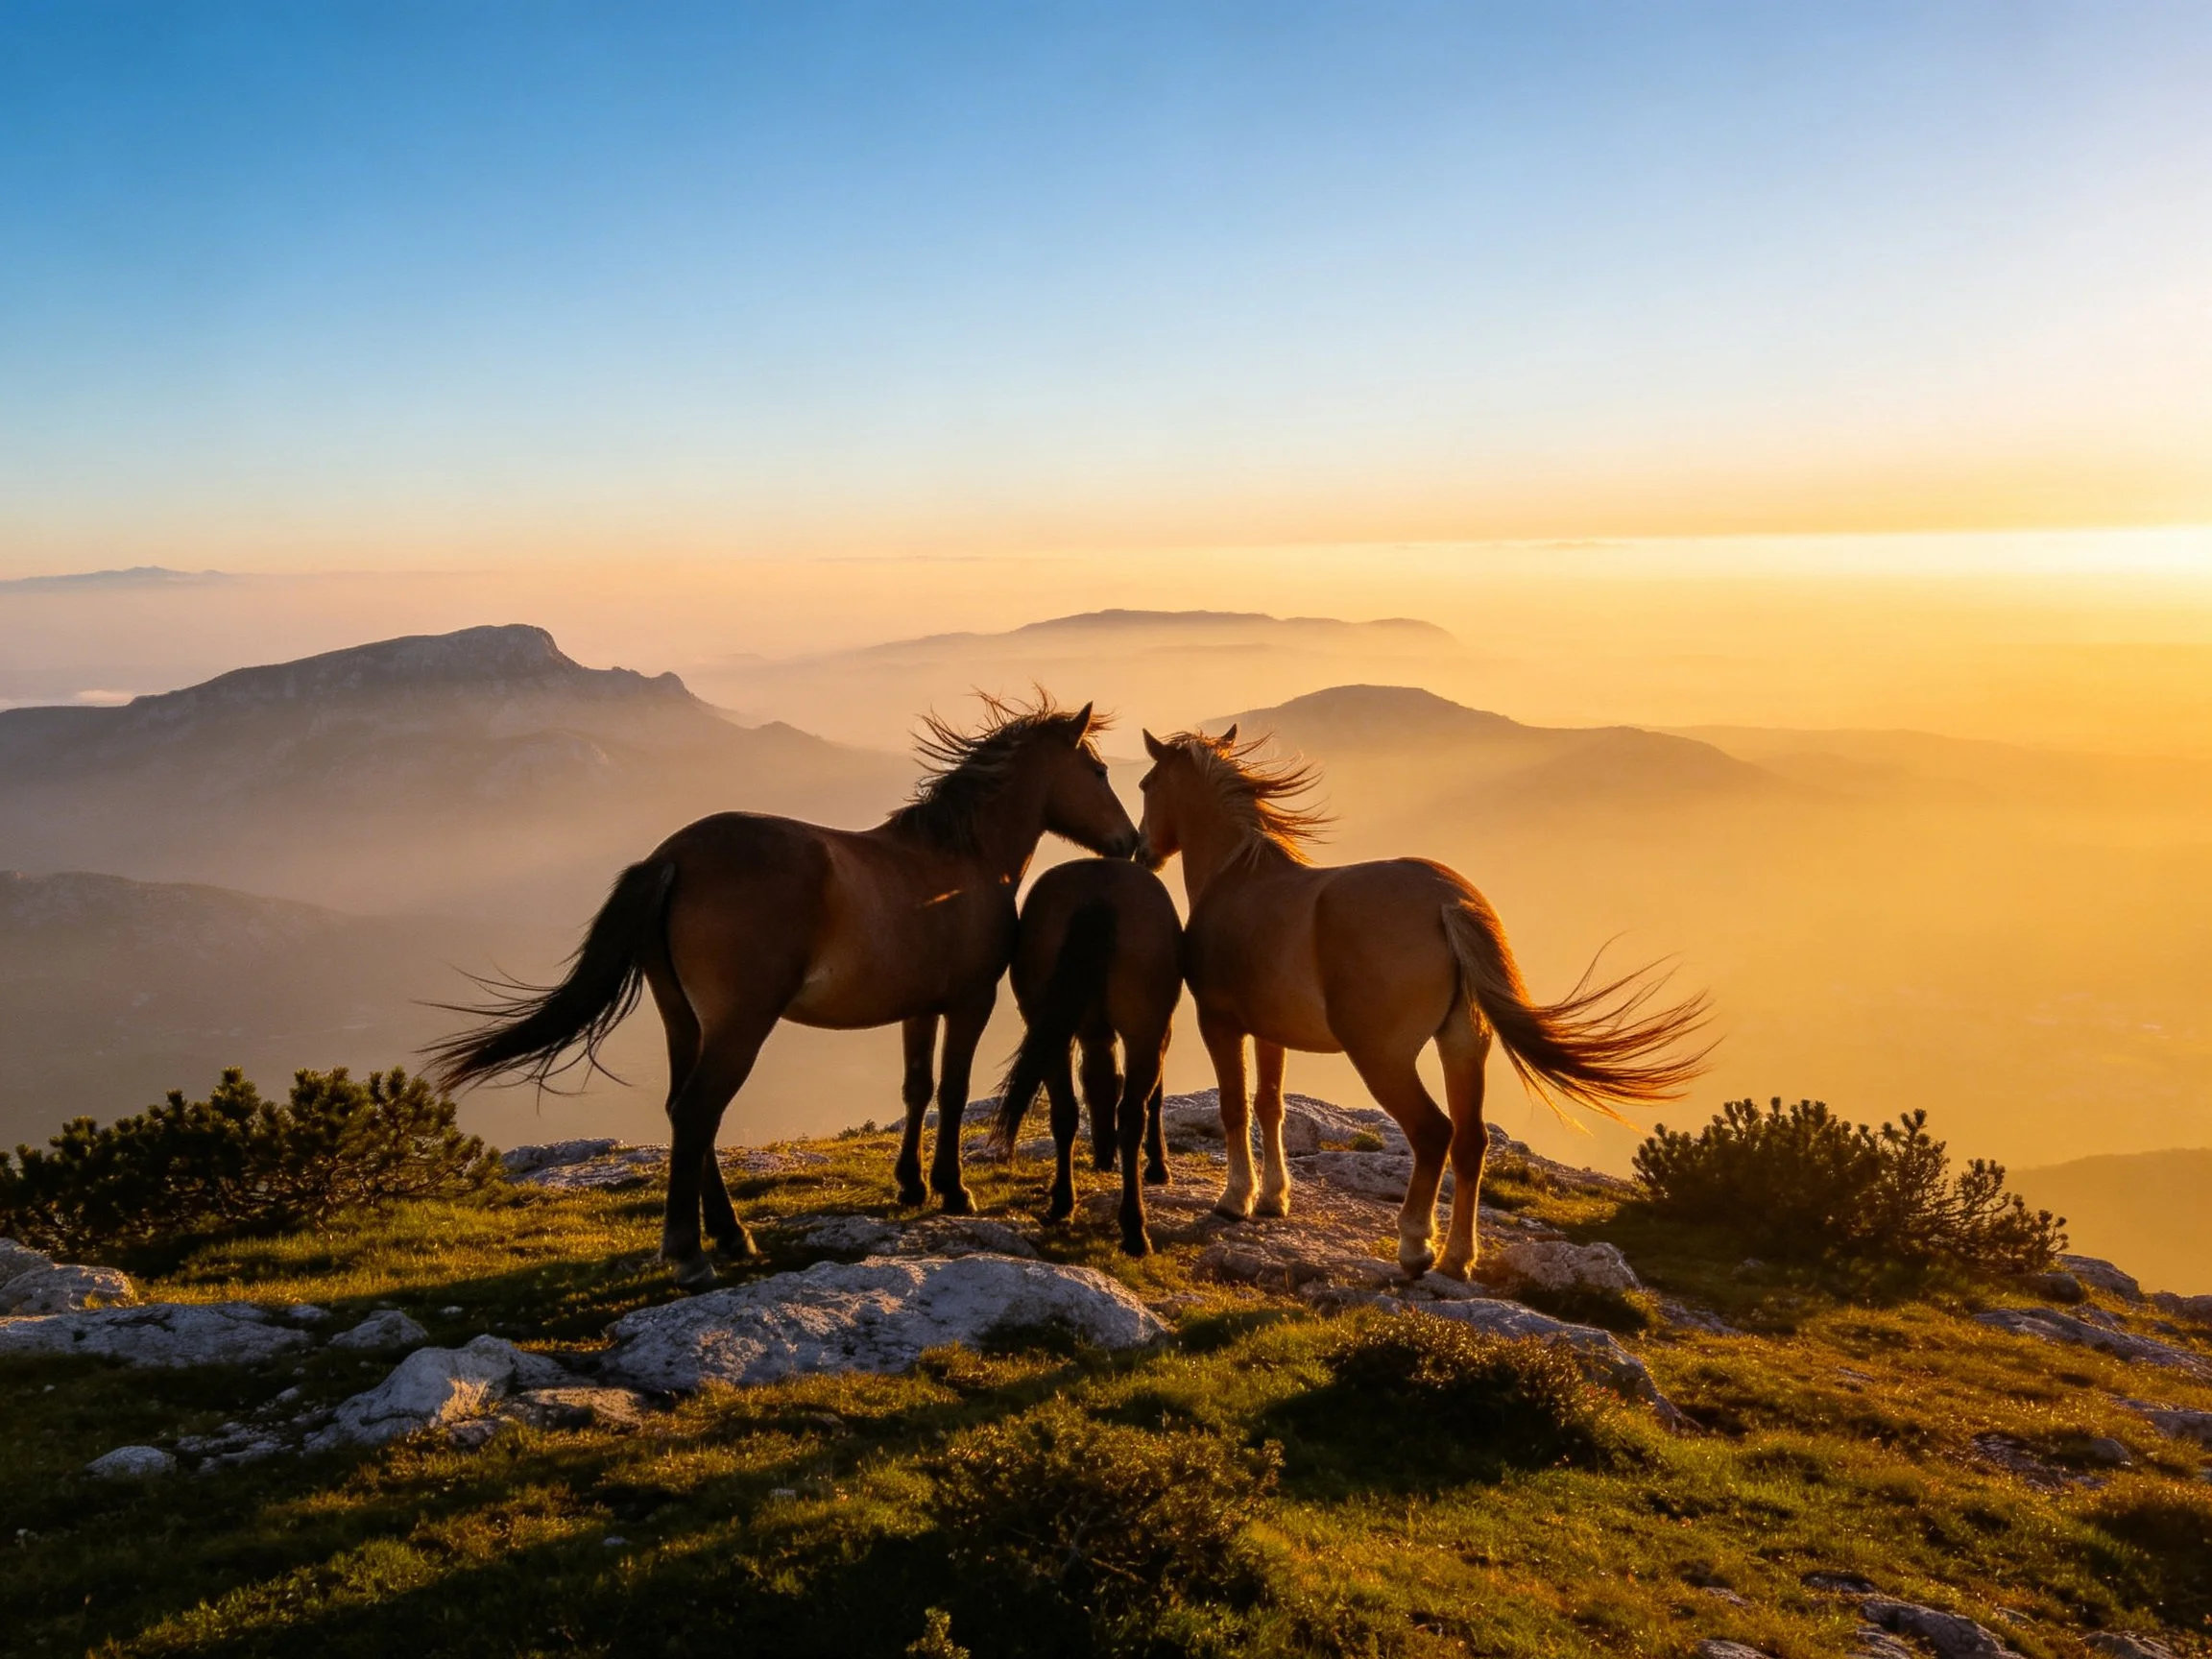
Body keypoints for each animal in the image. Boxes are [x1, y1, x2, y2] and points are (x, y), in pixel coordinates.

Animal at [428, 695, 1139, 1289]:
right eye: (1099, 771)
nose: (1130, 843)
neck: (961, 859)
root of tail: (671, 858)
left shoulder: (918, 1010)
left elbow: (917, 1089)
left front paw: (910, 1184)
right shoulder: (970, 1003)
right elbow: (955, 1091)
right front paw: (952, 1189)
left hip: (685, 1021)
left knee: (686, 1112)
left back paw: (730, 1235)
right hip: (739, 1025)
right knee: (697, 1112)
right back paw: (690, 1253)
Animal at [992, 857, 1181, 1256]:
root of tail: (1096, 894)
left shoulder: (1094, 1033)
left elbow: (1098, 1084)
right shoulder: (1160, 1031)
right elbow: (1154, 1097)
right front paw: (1157, 1165)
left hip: (1050, 1029)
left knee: (1064, 1111)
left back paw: (1063, 1202)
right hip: (1144, 1029)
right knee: (1132, 1116)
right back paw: (1134, 1229)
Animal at [1134, 725, 1711, 1280]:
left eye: (1145, 785)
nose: (1142, 852)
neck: (1237, 878)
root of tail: (1447, 902)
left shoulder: (1220, 1023)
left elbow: (1234, 1106)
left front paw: (1236, 1199)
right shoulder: (1270, 1032)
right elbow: (1269, 1106)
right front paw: (1275, 1198)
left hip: (1383, 1058)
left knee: (1433, 1132)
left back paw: (1416, 1247)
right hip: (1462, 1047)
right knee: (1471, 1141)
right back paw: (1458, 1257)